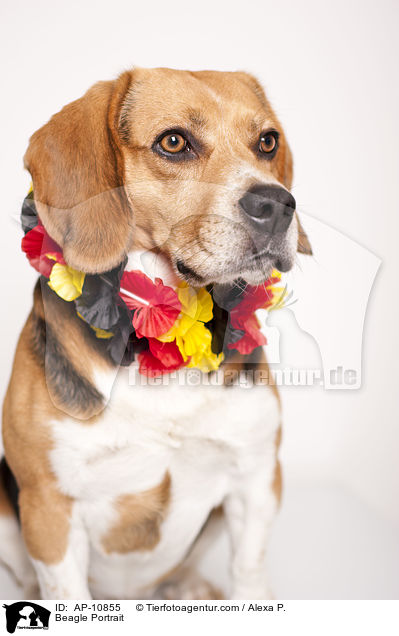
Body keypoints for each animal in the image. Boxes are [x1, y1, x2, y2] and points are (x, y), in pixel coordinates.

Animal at [0, 67, 310, 600]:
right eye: (173, 142)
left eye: (267, 142)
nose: (276, 203)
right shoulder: (48, 507)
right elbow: (65, 593)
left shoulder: (257, 480)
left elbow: (249, 577)